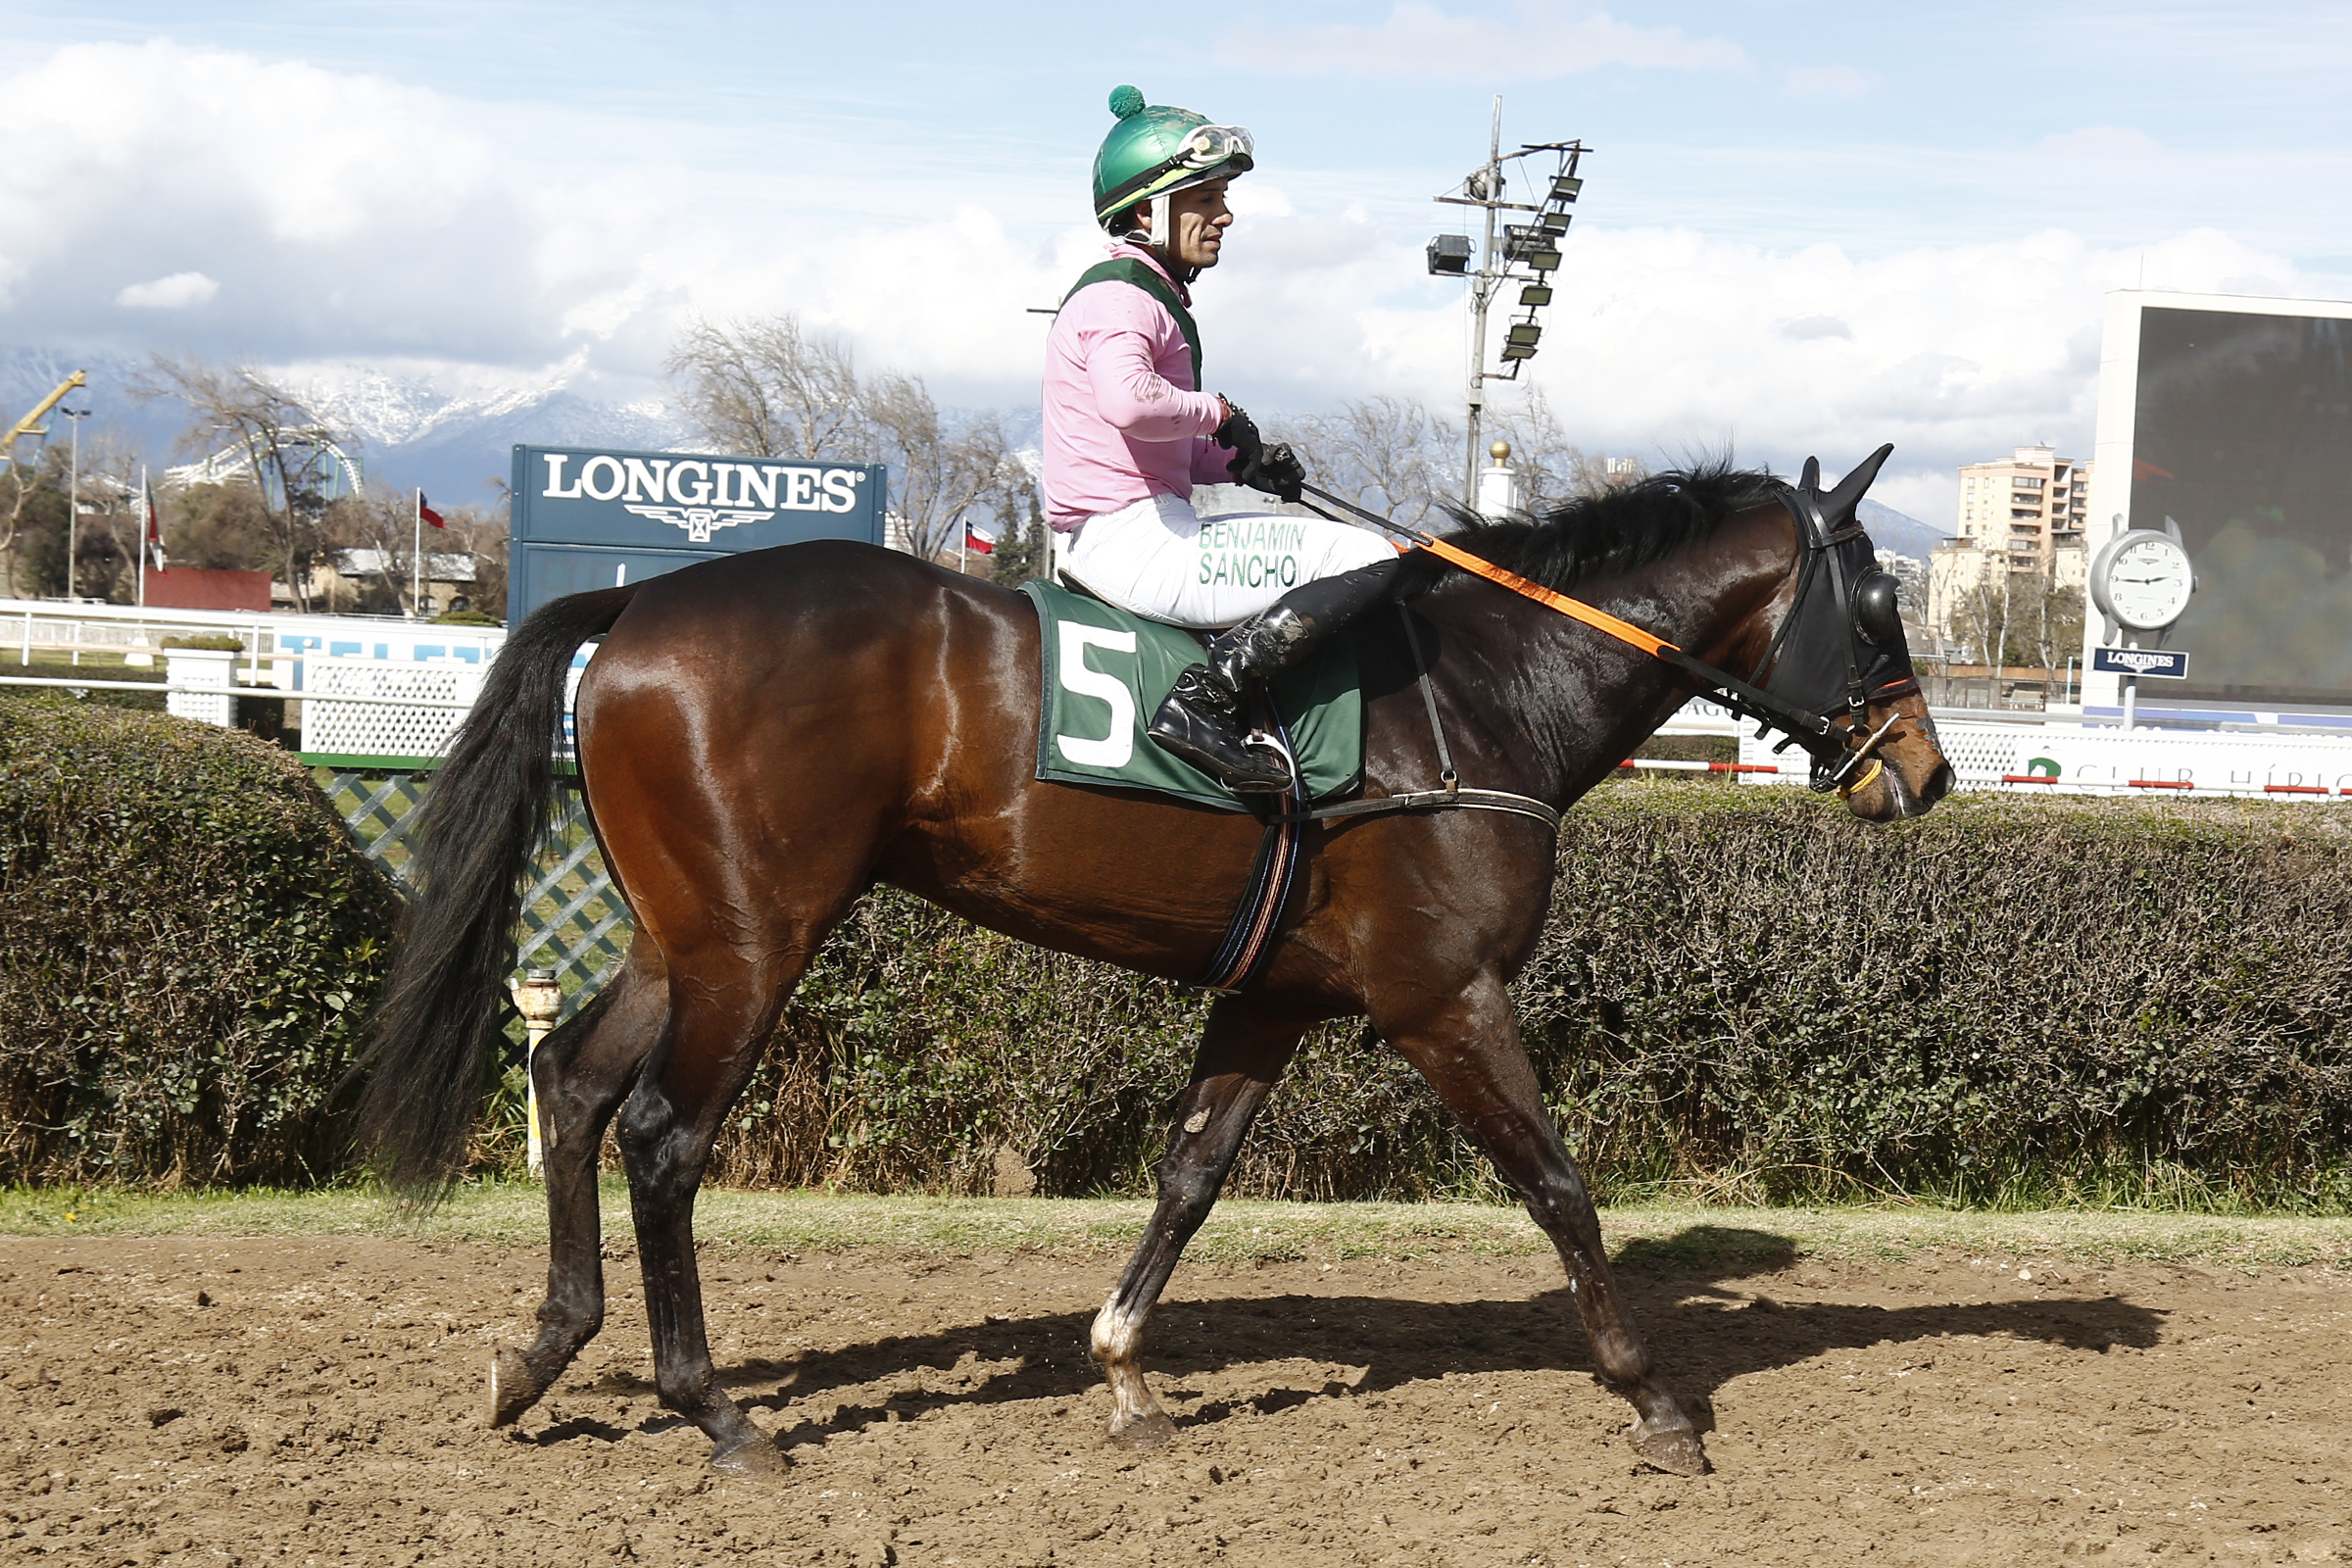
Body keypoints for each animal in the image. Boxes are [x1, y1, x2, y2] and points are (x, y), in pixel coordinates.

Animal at [354, 451, 1951, 1479]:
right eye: (1883, 604)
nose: (1926, 773)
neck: (1482, 695)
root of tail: (642, 605)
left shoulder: (1272, 995)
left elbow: (1190, 1174)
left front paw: (1124, 1369)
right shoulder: (1444, 997)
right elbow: (1557, 1183)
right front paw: (1654, 1403)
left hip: (683, 933)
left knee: (571, 1083)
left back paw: (542, 1351)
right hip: (756, 941)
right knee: (664, 1135)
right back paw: (718, 1413)